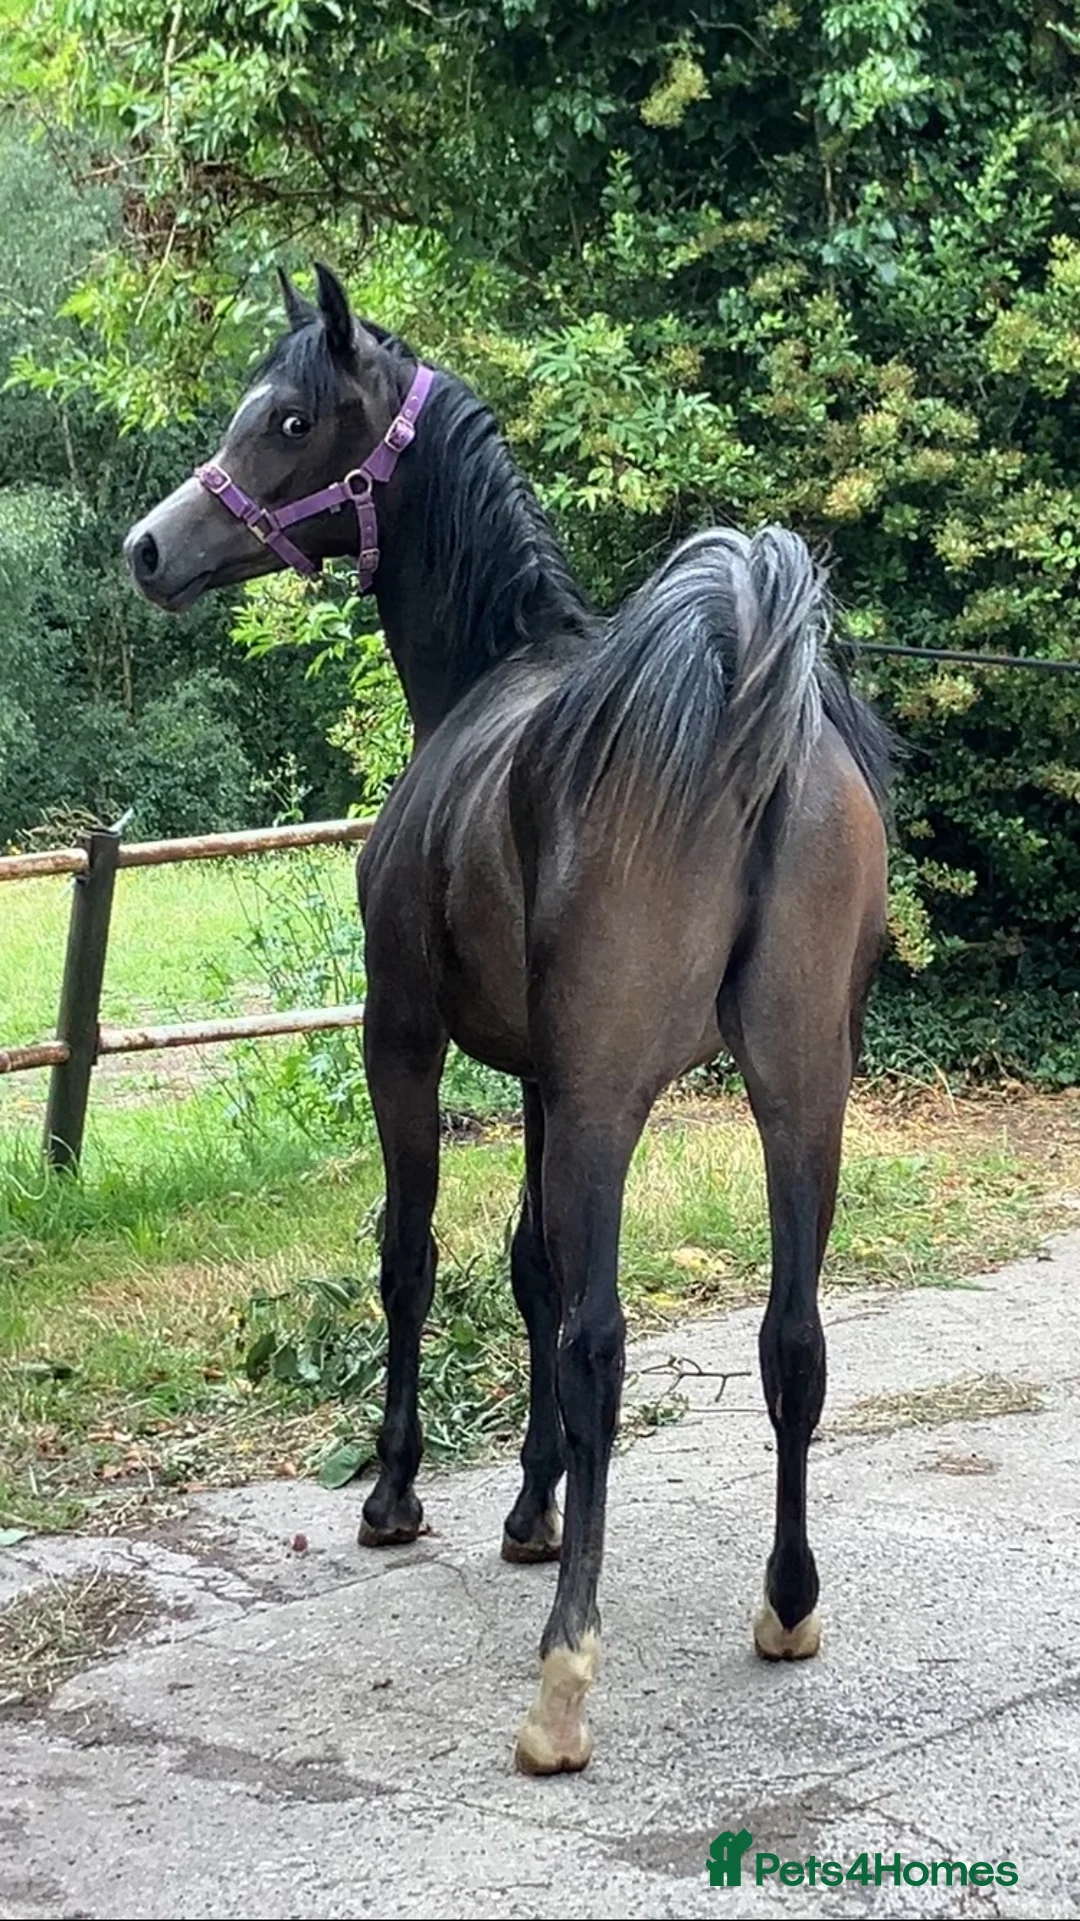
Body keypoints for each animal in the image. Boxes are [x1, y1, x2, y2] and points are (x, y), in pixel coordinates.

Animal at [125, 263, 893, 1776]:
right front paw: (531, 1509)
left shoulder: (409, 1042)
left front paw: (399, 1490)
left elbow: (419, 1257)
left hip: (609, 1098)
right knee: (791, 1336)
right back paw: (786, 1603)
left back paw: (563, 1681)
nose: (149, 550)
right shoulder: (539, 1077)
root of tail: (746, 703)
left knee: (604, 1342)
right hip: (799, 1091)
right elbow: (530, 1267)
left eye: (287, 417)